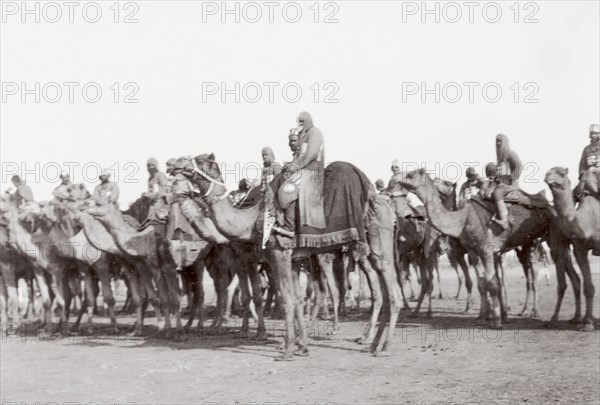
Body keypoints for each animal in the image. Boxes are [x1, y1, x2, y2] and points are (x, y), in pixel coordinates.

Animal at [183, 153, 398, 358]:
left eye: (204, 162)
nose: (177, 164)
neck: (251, 221)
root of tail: (382, 203)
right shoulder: (286, 259)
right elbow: (294, 299)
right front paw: (300, 346)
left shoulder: (272, 254)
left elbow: (283, 297)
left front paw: (285, 349)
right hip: (363, 251)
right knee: (378, 290)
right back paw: (370, 342)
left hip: (366, 246)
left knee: (384, 290)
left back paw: (382, 345)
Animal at [396, 167, 576, 328]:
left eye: (411, 174)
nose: (397, 178)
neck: (461, 220)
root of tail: (551, 206)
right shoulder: (475, 252)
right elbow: (484, 282)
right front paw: (485, 317)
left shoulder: (486, 249)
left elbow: (492, 283)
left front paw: (496, 321)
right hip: (533, 244)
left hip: (549, 237)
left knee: (540, 273)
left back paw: (541, 314)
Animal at [548, 166, 596, 330]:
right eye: (549, 171)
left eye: (561, 173)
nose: (547, 176)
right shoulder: (579, 249)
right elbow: (588, 286)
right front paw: (588, 323)